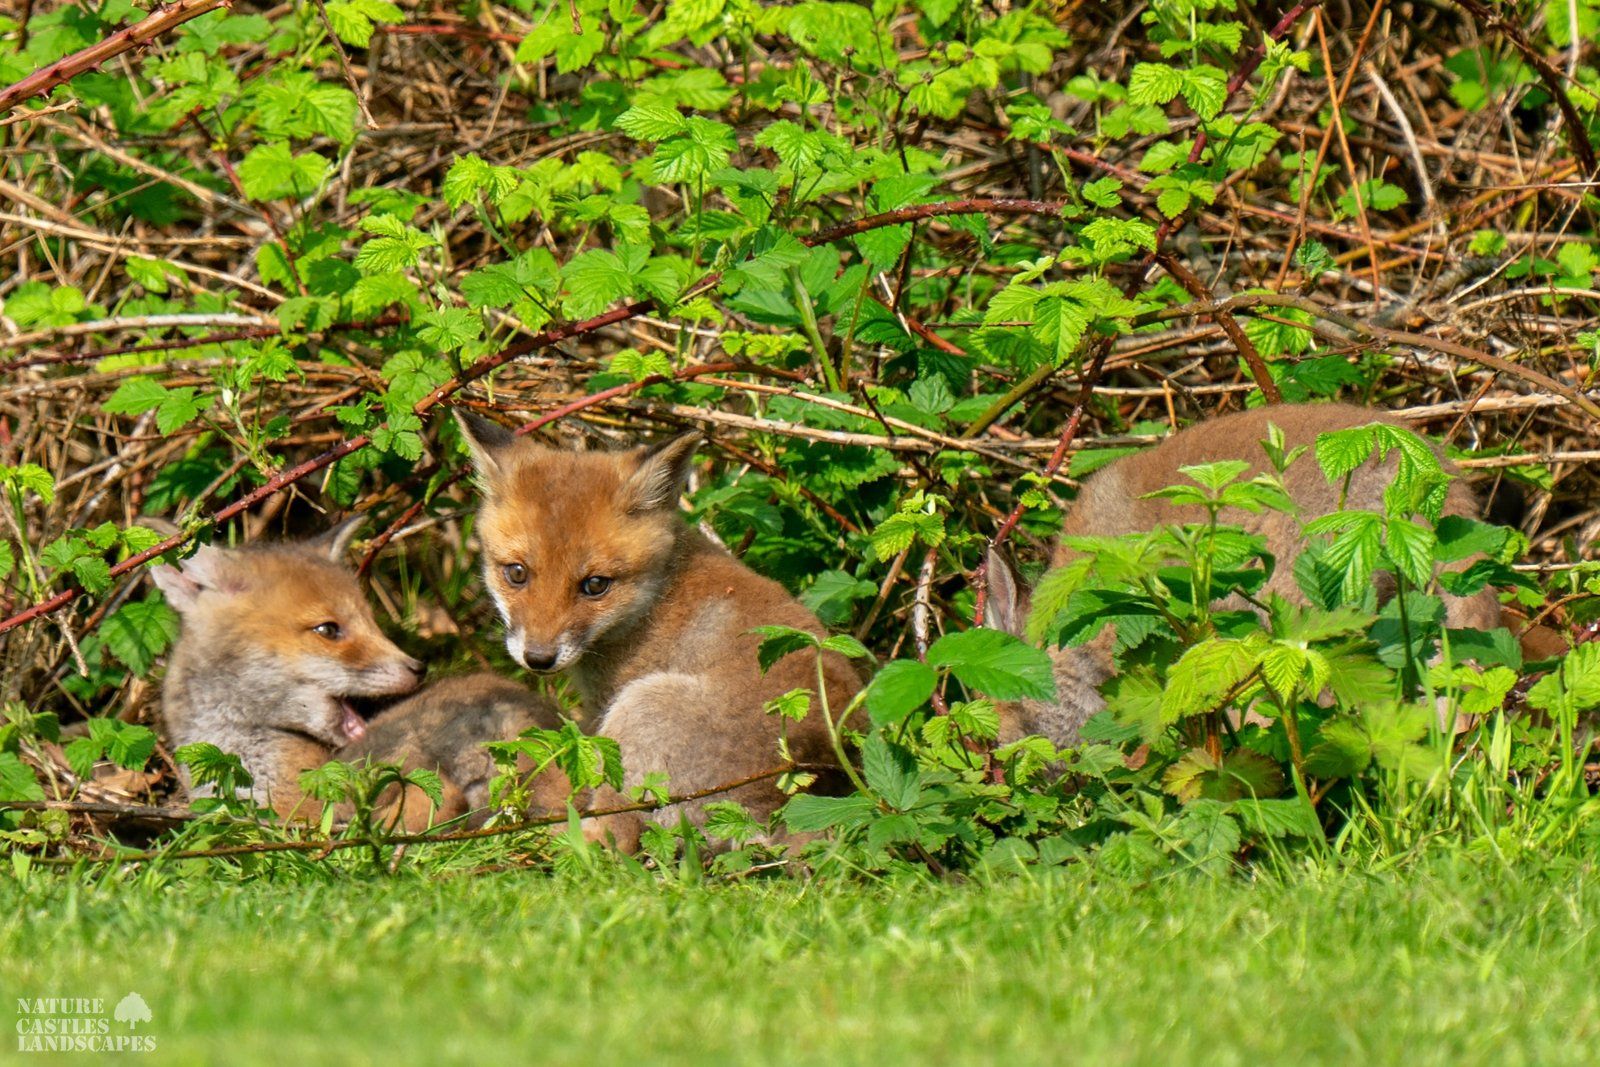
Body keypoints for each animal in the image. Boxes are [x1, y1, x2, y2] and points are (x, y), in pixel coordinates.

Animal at [455, 413, 863, 852]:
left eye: (595, 585)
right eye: (516, 573)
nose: (539, 658)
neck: (653, 600)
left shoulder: (604, 712)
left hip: (642, 710)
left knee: (611, 838)